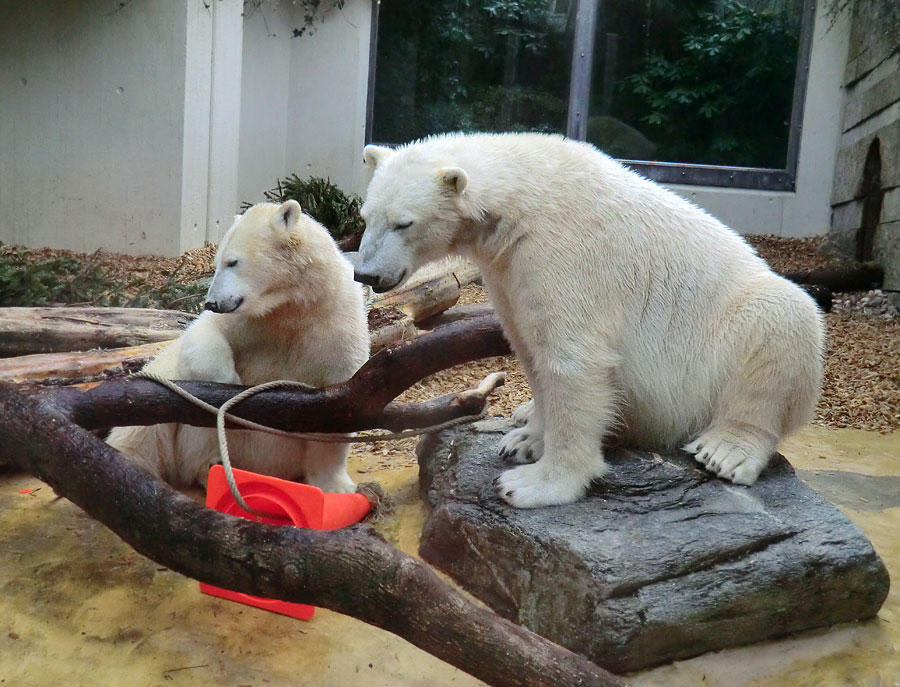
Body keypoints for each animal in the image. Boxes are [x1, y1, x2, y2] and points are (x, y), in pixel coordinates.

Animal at [106, 202, 370, 492]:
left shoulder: (335, 322)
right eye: (216, 262)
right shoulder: (251, 321)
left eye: (232, 262)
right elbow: (205, 334)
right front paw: (232, 383)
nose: (211, 302)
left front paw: (336, 486)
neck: (292, 305)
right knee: (147, 426)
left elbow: (337, 410)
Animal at [356, 133, 828, 510]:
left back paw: (726, 450)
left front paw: (533, 484)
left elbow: (574, 360)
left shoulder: (563, 251)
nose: (366, 275)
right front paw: (525, 441)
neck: (521, 196)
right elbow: (529, 346)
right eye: (366, 217)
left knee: (781, 319)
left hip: (728, 338)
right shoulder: (507, 268)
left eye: (404, 223)